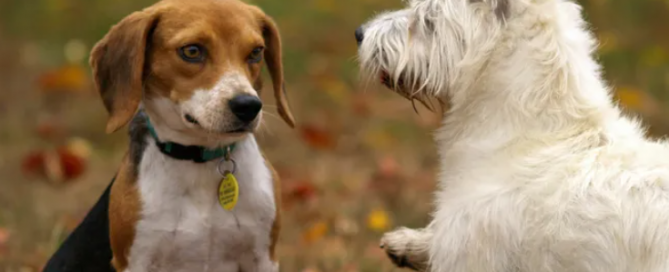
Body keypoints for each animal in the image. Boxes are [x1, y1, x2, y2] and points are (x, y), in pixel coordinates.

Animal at [43, 0, 294, 270]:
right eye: (192, 51)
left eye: (256, 52)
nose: (248, 106)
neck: (200, 160)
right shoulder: (137, 259)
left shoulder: (263, 257)